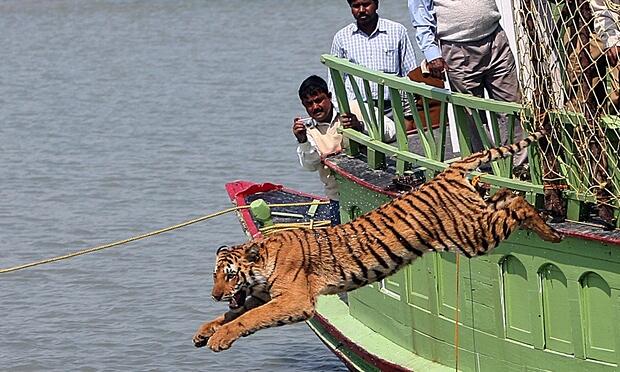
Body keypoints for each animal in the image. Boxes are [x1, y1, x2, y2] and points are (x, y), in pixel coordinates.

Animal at [193, 131, 560, 352]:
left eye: (229, 275)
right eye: (214, 275)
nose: (214, 295)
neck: (263, 265)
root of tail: (448, 170)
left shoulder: (294, 301)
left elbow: (247, 319)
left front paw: (220, 338)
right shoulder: (263, 296)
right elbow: (232, 314)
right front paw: (204, 330)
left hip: (473, 236)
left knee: (517, 202)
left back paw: (551, 232)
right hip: (475, 220)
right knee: (504, 195)